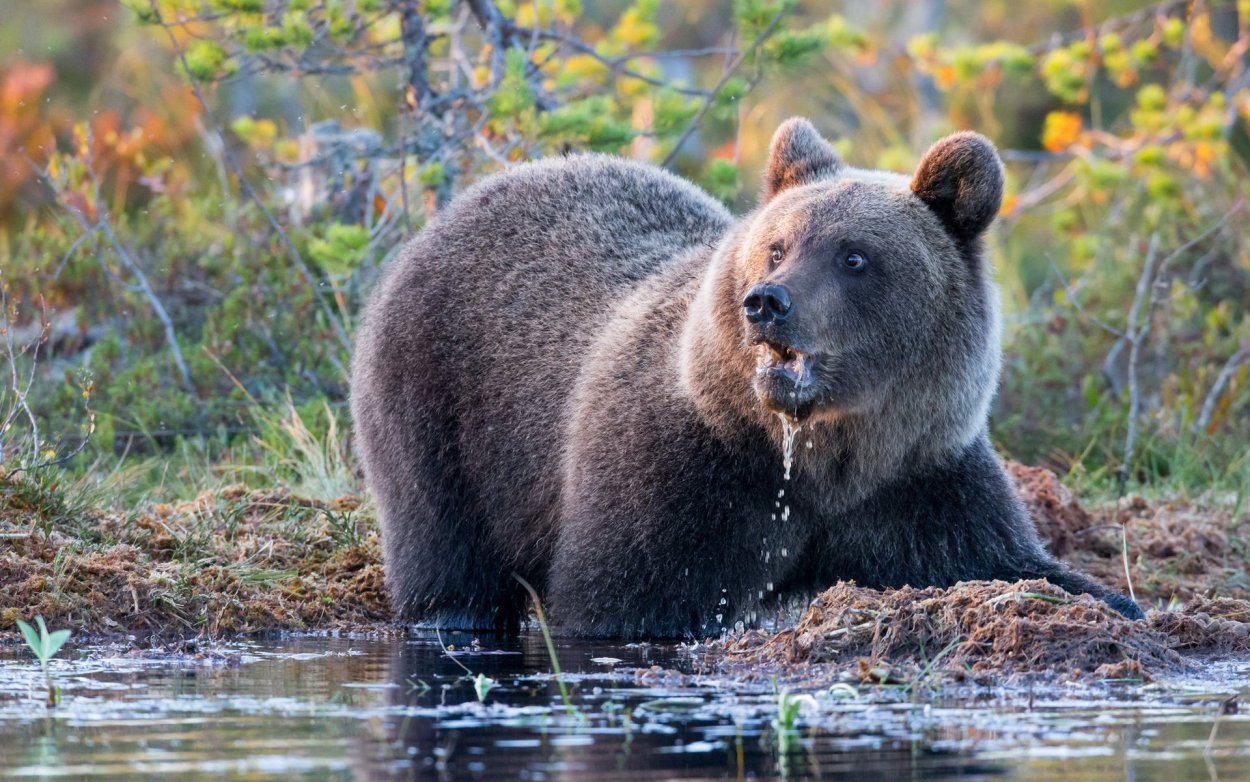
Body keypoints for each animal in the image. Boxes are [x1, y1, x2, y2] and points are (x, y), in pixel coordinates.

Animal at [350, 118, 1145, 637]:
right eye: (777, 246)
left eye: (854, 256)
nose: (767, 302)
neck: (816, 453)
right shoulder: (682, 470)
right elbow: (627, 596)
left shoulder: (920, 477)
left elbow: (1003, 559)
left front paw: (1116, 601)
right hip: (439, 392)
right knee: (441, 530)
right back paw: (450, 611)